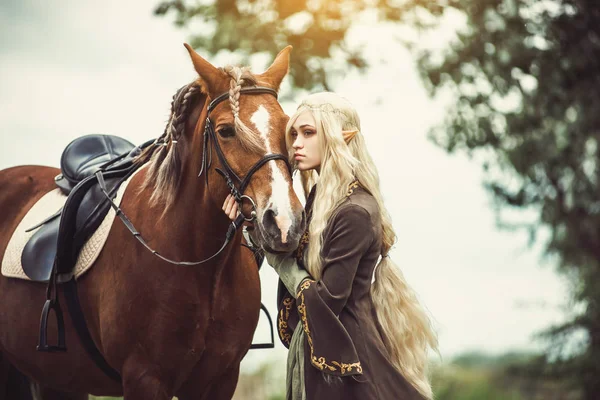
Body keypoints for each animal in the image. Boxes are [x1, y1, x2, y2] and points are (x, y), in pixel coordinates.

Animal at [0, 44, 304, 400]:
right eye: (226, 131)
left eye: (288, 128)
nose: (283, 223)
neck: (198, 265)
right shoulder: (145, 377)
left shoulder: (219, 380)